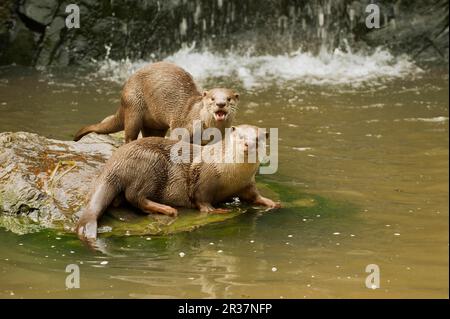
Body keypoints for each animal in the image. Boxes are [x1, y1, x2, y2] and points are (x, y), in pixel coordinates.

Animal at [74, 61, 239, 144]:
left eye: (229, 99)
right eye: (212, 98)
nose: (221, 104)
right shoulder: (182, 127)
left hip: (155, 124)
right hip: (134, 105)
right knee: (130, 134)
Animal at [76, 125, 282, 242]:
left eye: (258, 139)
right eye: (240, 137)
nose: (248, 144)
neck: (233, 173)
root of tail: (114, 162)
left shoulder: (248, 183)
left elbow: (254, 195)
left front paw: (271, 202)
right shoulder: (205, 176)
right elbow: (201, 198)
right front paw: (214, 210)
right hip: (151, 164)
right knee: (135, 196)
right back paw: (168, 209)